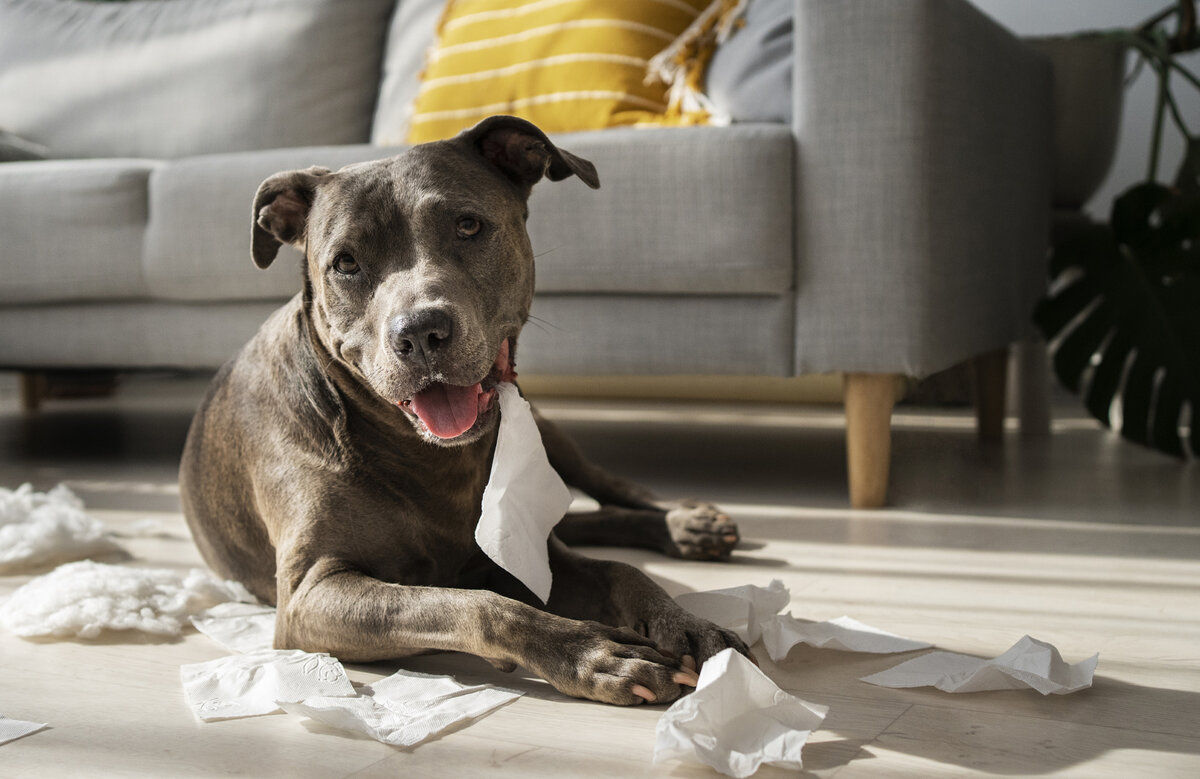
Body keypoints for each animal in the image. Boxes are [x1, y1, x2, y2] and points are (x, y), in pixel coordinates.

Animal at [180, 115, 748, 705]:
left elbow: (621, 572)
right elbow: (482, 606)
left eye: (469, 226)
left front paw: (686, 625)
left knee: (615, 490)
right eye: (345, 263)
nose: (419, 332)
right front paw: (595, 655)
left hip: (550, 437)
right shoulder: (311, 594)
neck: (427, 455)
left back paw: (688, 523)